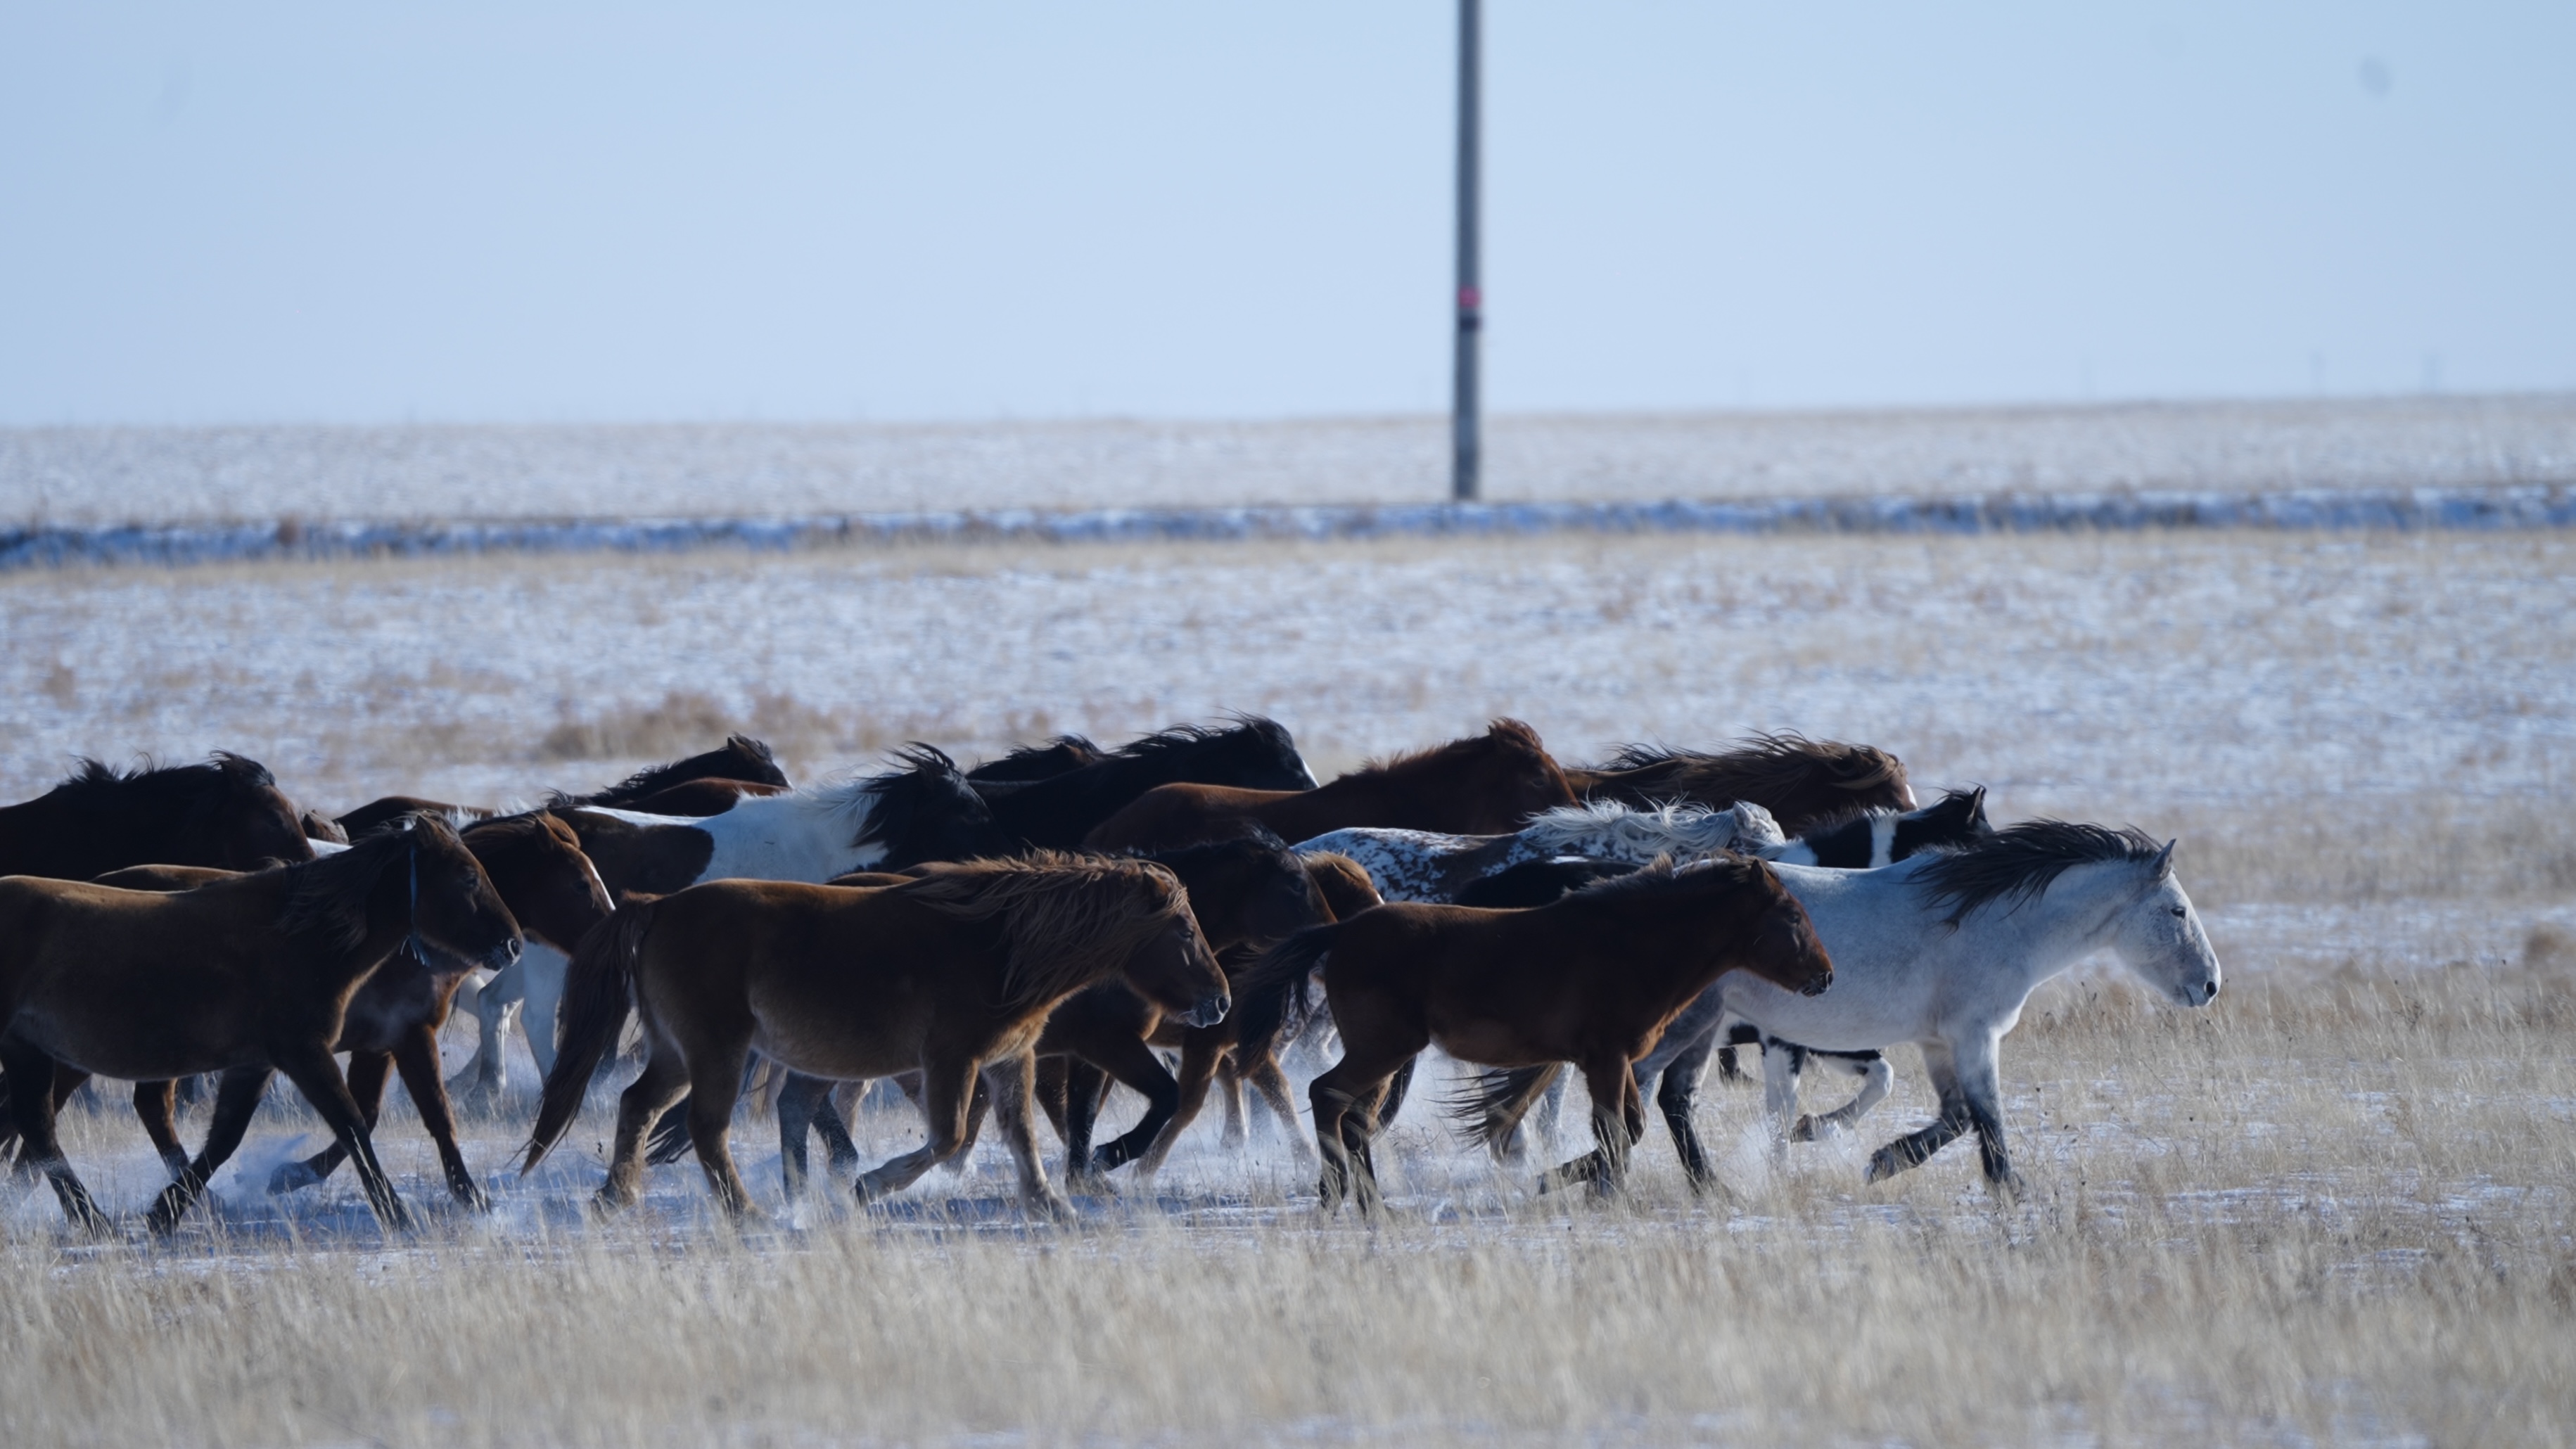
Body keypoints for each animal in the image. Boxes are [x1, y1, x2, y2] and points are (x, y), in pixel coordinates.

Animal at [7, 811, 611, 1210]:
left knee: (124, 1109)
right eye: (580, 882)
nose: (510, 945)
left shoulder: (374, 1044)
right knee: (56, 1111)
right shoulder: (396, 1037)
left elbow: (381, 1116)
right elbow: (393, 1118)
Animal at [520, 855, 1228, 1220]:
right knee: (707, 1128)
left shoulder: (1010, 1060)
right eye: (1183, 929)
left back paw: (617, 1197)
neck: (996, 946)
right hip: (715, 1051)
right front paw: (869, 1187)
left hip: (676, 1054)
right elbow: (949, 1138)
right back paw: (747, 1211)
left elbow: (1020, 1136)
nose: (1220, 1001)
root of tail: (658, 906)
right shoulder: (951, 1059)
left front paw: (1051, 1204)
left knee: (638, 1105)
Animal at [1227, 855, 1831, 1210]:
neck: (1631, 944)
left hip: (1383, 1054)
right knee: (1328, 1096)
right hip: (1382, 1048)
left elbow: (1628, 1129)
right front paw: (1592, 1192)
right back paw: (1342, 1199)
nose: (1825, 976)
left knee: (1352, 1116)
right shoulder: (1605, 1058)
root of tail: (1342, 931)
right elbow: (1614, 1130)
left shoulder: (1611, 1060)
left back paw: (1368, 1203)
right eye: (1792, 916)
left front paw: (1568, 1182)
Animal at [1468, 821, 2222, 1197]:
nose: (2210, 985)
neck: (1984, 920)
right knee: (1635, 1105)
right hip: (1681, 1027)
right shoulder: (1974, 1037)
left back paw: (1689, 1185)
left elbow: (1953, 1116)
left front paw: (1878, 1158)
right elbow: (1988, 1117)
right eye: (2177, 911)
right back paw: (1595, 1180)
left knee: (1666, 1104)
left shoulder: (1938, 1042)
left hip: (1701, 1031)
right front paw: (2012, 1187)